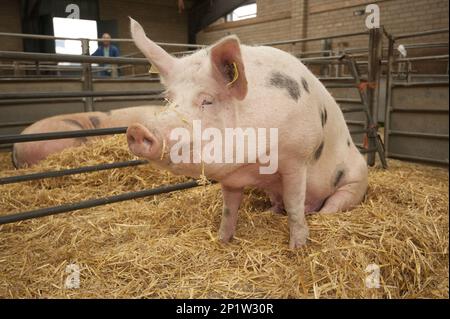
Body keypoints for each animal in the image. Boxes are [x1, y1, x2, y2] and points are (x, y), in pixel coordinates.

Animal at [125, 18, 368, 250]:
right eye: (169, 99)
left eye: (207, 100)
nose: (136, 129)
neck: (253, 163)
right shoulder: (231, 178)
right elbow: (229, 210)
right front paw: (222, 241)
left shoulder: (297, 158)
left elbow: (294, 204)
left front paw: (297, 248)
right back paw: (268, 212)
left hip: (355, 181)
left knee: (332, 204)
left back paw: (318, 214)